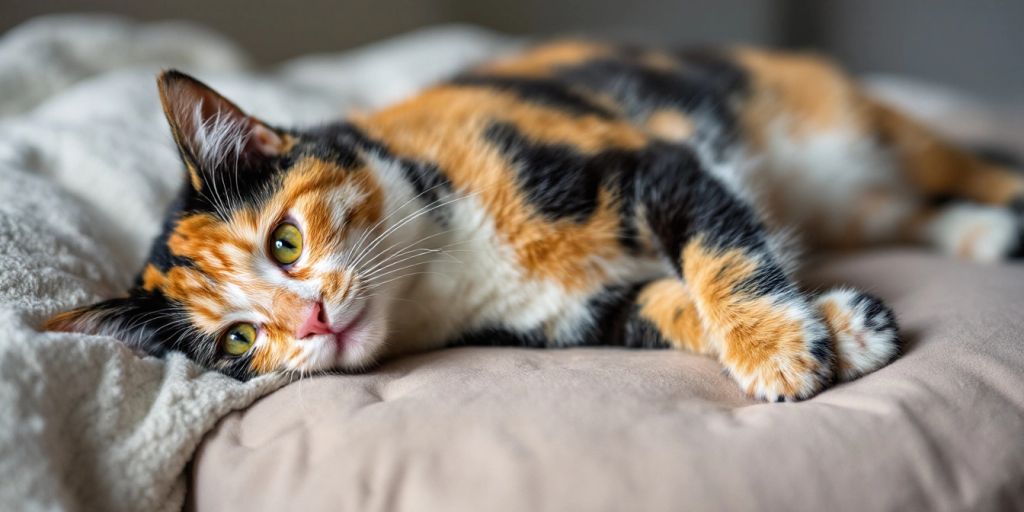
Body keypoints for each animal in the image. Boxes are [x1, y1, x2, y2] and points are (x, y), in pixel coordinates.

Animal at [41, 40, 1024, 399]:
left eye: (285, 240)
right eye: (240, 341)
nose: (312, 320)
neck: (443, 262)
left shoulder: (646, 158)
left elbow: (718, 249)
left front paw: (778, 350)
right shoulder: (575, 316)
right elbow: (663, 306)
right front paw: (839, 330)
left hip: (858, 126)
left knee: (958, 164)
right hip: (858, 196)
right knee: (900, 210)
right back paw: (974, 236)